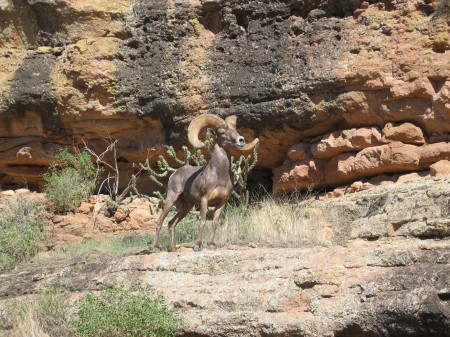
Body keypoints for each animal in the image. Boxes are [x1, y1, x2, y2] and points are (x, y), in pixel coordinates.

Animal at [151, 114, 258, 251]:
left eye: (235, 130)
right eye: (222, 132)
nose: (241, 140)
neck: (219, 176)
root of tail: (174, 174)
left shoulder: (222, 201)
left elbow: (215, 222)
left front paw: (211, 245)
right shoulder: (204, 199)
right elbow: (202, 221)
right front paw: (198, 246)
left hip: (186, 207)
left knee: (171, 223)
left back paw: (173, 248)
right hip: (171, 199)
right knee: (160, 221)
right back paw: (155, 247)